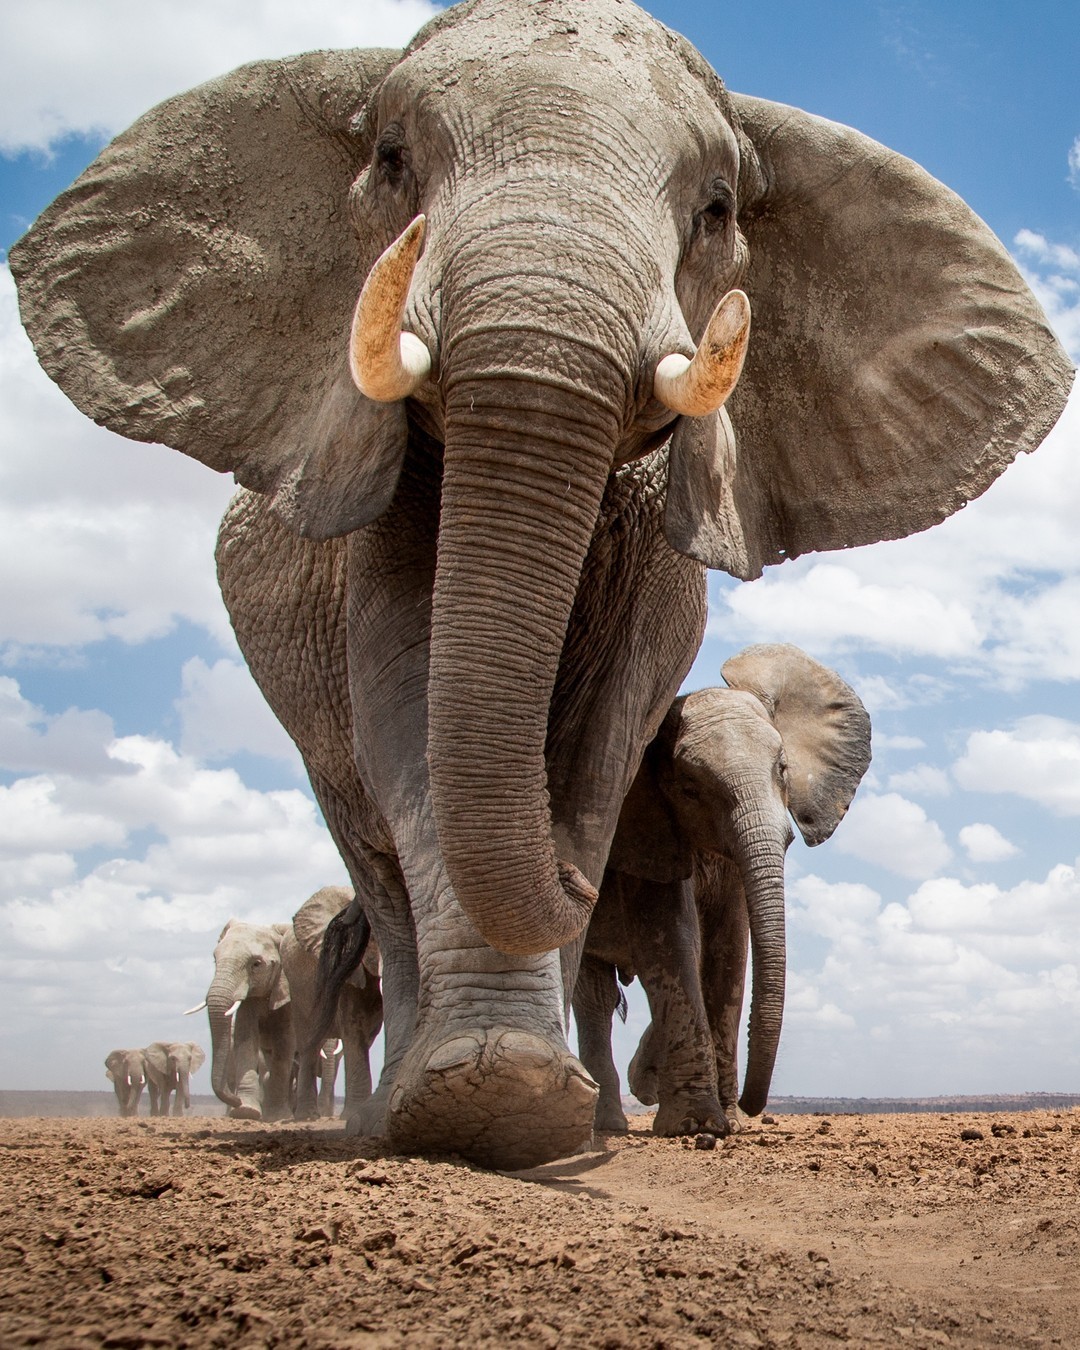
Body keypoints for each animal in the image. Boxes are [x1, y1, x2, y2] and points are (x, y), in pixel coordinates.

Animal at [577, 642, 874, 1139]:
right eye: (689, 789)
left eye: (782, 769)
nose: (752, 1104)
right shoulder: (644, 829)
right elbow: (673, 939)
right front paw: (696, 1125)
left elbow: (729, 950)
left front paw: (727, 1121)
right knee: (592, 992)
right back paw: (610, 1125)